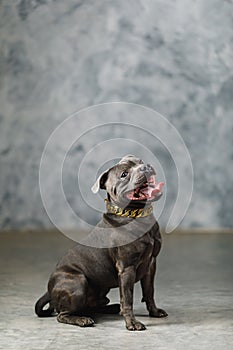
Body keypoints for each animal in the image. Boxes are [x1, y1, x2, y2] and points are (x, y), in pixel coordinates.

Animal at [35, 154, 167, 330]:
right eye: (124, 174)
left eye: (140, 161)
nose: (145, 167)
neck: (136, 215)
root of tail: (49, 290)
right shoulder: (127, 269)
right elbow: (128, 298)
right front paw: (131, 322)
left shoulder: (151, 264)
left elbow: (149, 291)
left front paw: (154, 312)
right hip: (78, 282)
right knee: (62, 314)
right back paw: (81, 319)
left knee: (92, 305)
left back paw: (111, 308)